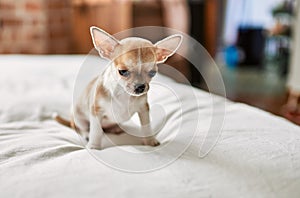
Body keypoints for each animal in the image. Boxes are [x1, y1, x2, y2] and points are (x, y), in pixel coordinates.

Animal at [54, 26, 183, 150]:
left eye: (152, 73)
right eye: (122, 72)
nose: (140, 87)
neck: (123, 93)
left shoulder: (143, 109)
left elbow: (146, 126)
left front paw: (150, 141)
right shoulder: (96, 111)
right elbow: (96, 131)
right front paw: (94, 145)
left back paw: (115, 128)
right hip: (77, 117)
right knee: (80, 128)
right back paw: (86, 134)